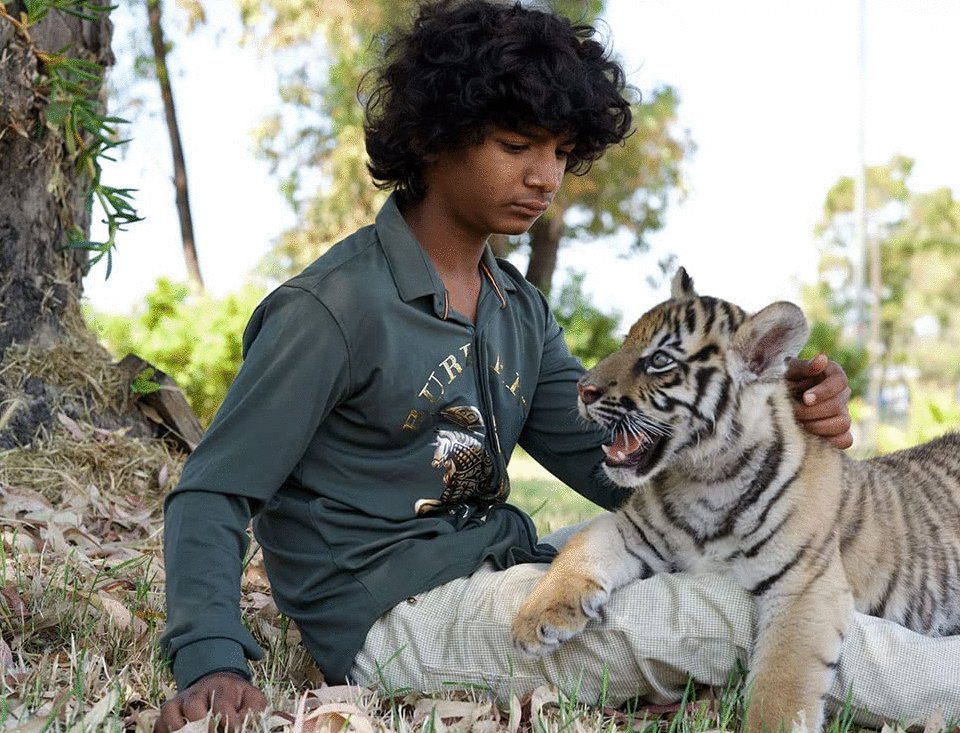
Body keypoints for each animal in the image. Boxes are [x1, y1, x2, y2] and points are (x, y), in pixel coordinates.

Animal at [511, 267, 960, 733]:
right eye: (625, 342)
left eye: (660, 360)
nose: (582, 389)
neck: (704, 480)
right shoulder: (630, 529)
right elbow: (580, 548)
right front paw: (535, 620)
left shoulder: (802, 586)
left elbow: (780, 688)